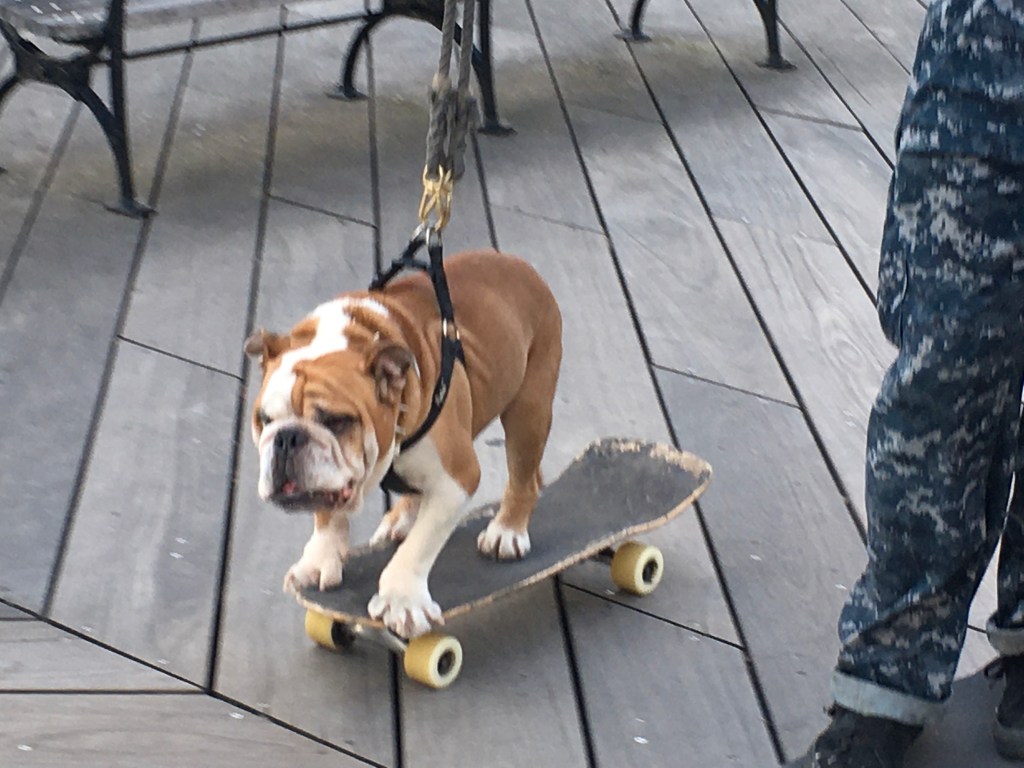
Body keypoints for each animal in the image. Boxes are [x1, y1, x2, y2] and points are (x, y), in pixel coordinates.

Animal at [245, 249, 562, 638]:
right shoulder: (327, 483)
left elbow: (419, 546)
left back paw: (507, 532)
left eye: (337, 421)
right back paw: (401, 518)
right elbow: (326, 514)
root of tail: (516, 264)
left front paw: (402, 601)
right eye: (264, 420)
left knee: (524, 478)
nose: (288, 438)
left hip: (528, 409)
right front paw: (320, 559)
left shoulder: (456, 478)